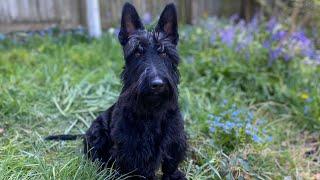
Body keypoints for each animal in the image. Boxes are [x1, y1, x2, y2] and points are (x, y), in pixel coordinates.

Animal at [45, 2, 186, 180]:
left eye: (164, 52)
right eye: (137, 52)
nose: (157, 84)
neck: (152, 110)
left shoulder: (174, 142)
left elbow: (171, 166)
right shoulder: (129, 149)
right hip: (97, 132)